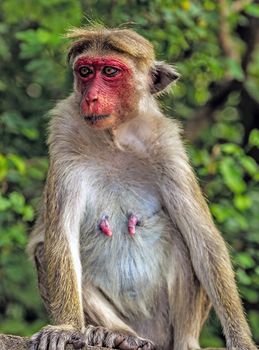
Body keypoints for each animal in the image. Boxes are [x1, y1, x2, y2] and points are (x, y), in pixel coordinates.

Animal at [28, 26, 258, 350]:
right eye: (85, 71)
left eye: (110, 72)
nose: (91, 98)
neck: (115, 137)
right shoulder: (64, 137)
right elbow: (61, 238)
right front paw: (66, 327)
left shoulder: (168, 147)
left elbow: (204, 241)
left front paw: (241, 340)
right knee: (43, 251)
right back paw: (117, 334)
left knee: (184, 244)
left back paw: (184, 342)